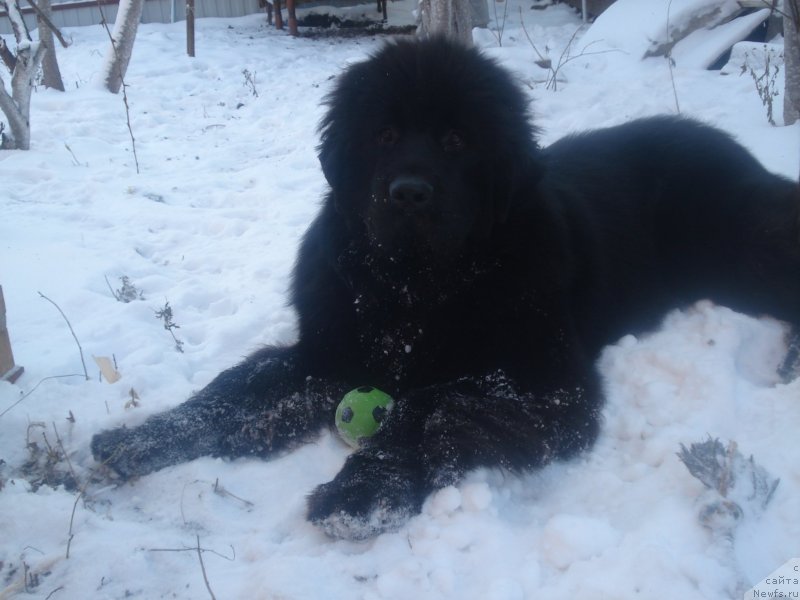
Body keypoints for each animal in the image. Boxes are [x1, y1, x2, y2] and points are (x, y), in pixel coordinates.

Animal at [90, 39, 796, 540]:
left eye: (457, 140)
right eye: (383, 135)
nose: (408, 193)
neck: (415, 286)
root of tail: (740, 155)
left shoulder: (547, 384)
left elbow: (430, 405)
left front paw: (359, 493)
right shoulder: (330, 349)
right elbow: (237, 386)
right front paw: (141, 438)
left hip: (743, 255)